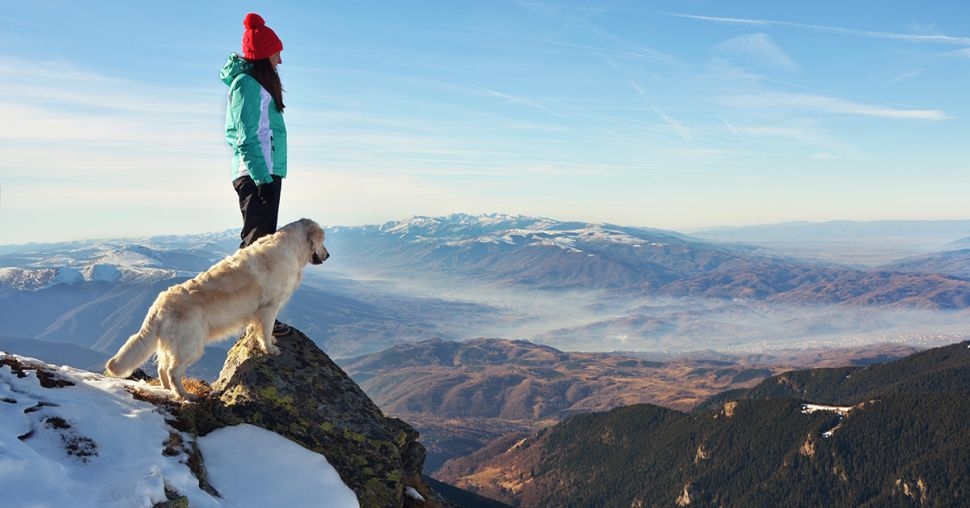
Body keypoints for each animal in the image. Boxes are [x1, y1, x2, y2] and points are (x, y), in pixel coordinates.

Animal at [104, 216, 328, 398]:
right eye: (323, 241)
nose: (328, 255)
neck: (291, 247)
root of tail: (159, 305)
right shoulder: (269, 306)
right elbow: (266, 330)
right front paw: (270, 348)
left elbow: (259, 329)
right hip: (191, 344)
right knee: (172, 371)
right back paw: (185, 395)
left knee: (162, 368)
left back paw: (167, 390)